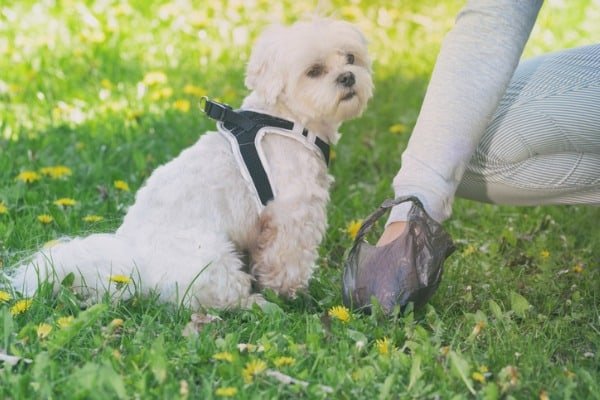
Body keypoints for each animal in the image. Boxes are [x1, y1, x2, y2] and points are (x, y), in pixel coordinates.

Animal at [9, 18, 372, 310]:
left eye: (350, 58)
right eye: (314, 71)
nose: (347, 77)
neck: (288, 118)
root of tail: (131, 260)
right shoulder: (293, 214)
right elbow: (286, 260)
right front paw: (290, 293)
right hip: (212, 254)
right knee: (218, 297)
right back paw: (256, 304)